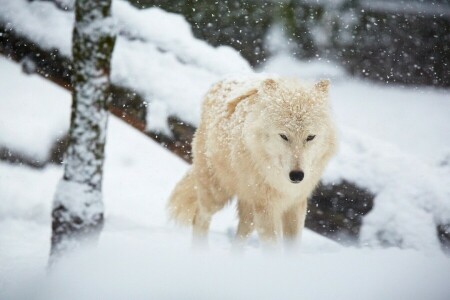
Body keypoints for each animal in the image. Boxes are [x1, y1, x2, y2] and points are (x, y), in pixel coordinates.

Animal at [169, 76, 338, 247]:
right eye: (284, 136)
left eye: (310, 137)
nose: (297, 175)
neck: (282, 184)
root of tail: (221, 81)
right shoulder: (267, 208)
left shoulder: (295, 205)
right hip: (217, 194)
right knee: (200, 218)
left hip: (249, 212)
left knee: (239, 240)